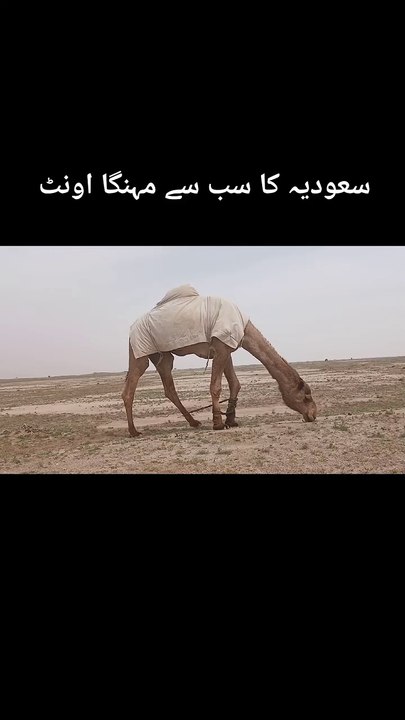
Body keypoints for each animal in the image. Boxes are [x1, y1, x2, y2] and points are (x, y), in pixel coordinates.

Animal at [122, 286, 317, 436]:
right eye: (306, 396)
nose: (313, 414)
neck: (245, 329)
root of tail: (131, 329)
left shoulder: (226, 348)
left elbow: (235, 383)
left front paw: (231, 419)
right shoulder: (221, 346)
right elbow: (215, 386)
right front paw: (218, 423)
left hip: (162, 355)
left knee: (169, 387)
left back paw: (194, 422)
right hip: (140, 349)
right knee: (130, 388)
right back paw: (134, 431)